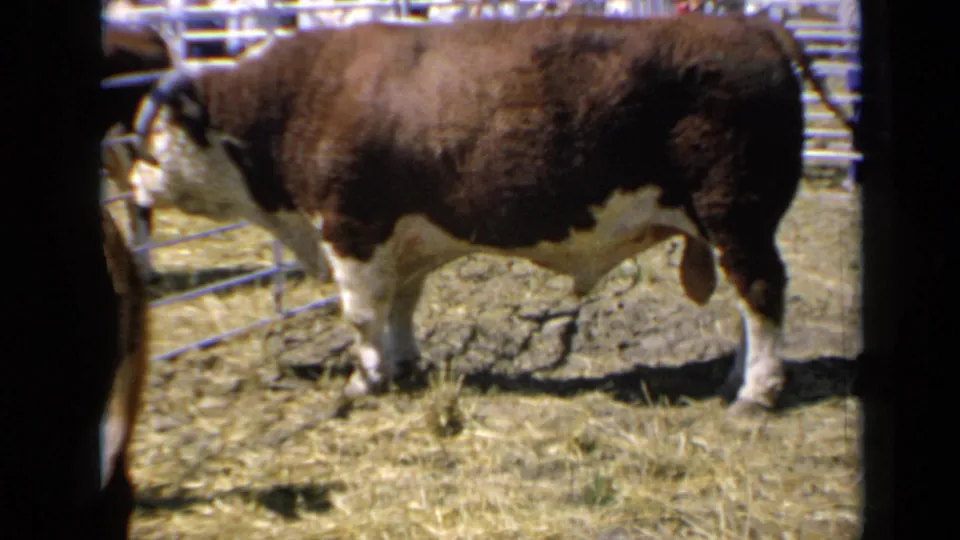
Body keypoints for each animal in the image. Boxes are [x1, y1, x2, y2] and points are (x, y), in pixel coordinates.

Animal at [126, 14, 854, 417]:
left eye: (150, 137)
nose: (129, 184)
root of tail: (753, 26)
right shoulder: (403, 237)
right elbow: (401, 305)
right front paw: (404, 363)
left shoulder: (352, 227)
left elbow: (361, 313)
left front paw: (365, 380)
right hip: (730, 224)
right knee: (748, 301)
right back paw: (737, 378)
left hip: (737, 214)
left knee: (761, 292)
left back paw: (757, 393)